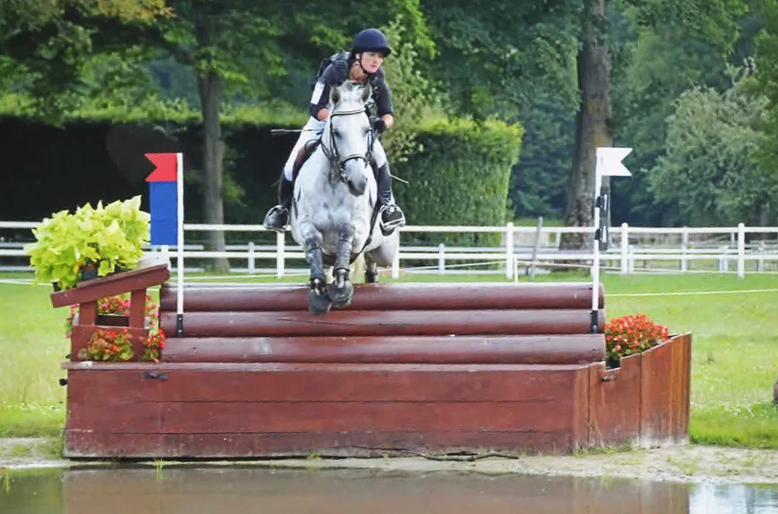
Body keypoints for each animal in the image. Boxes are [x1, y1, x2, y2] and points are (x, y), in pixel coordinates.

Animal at [292, 81, 400, 312]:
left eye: (366, 130)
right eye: (337, 132)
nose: (358, 183)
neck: (334, 180)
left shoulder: (359, 227)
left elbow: (347, 233)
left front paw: (341, 289)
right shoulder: (304, 225)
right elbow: (313, 240)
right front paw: (317, 291)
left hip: (385, 251)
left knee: (372, 259)